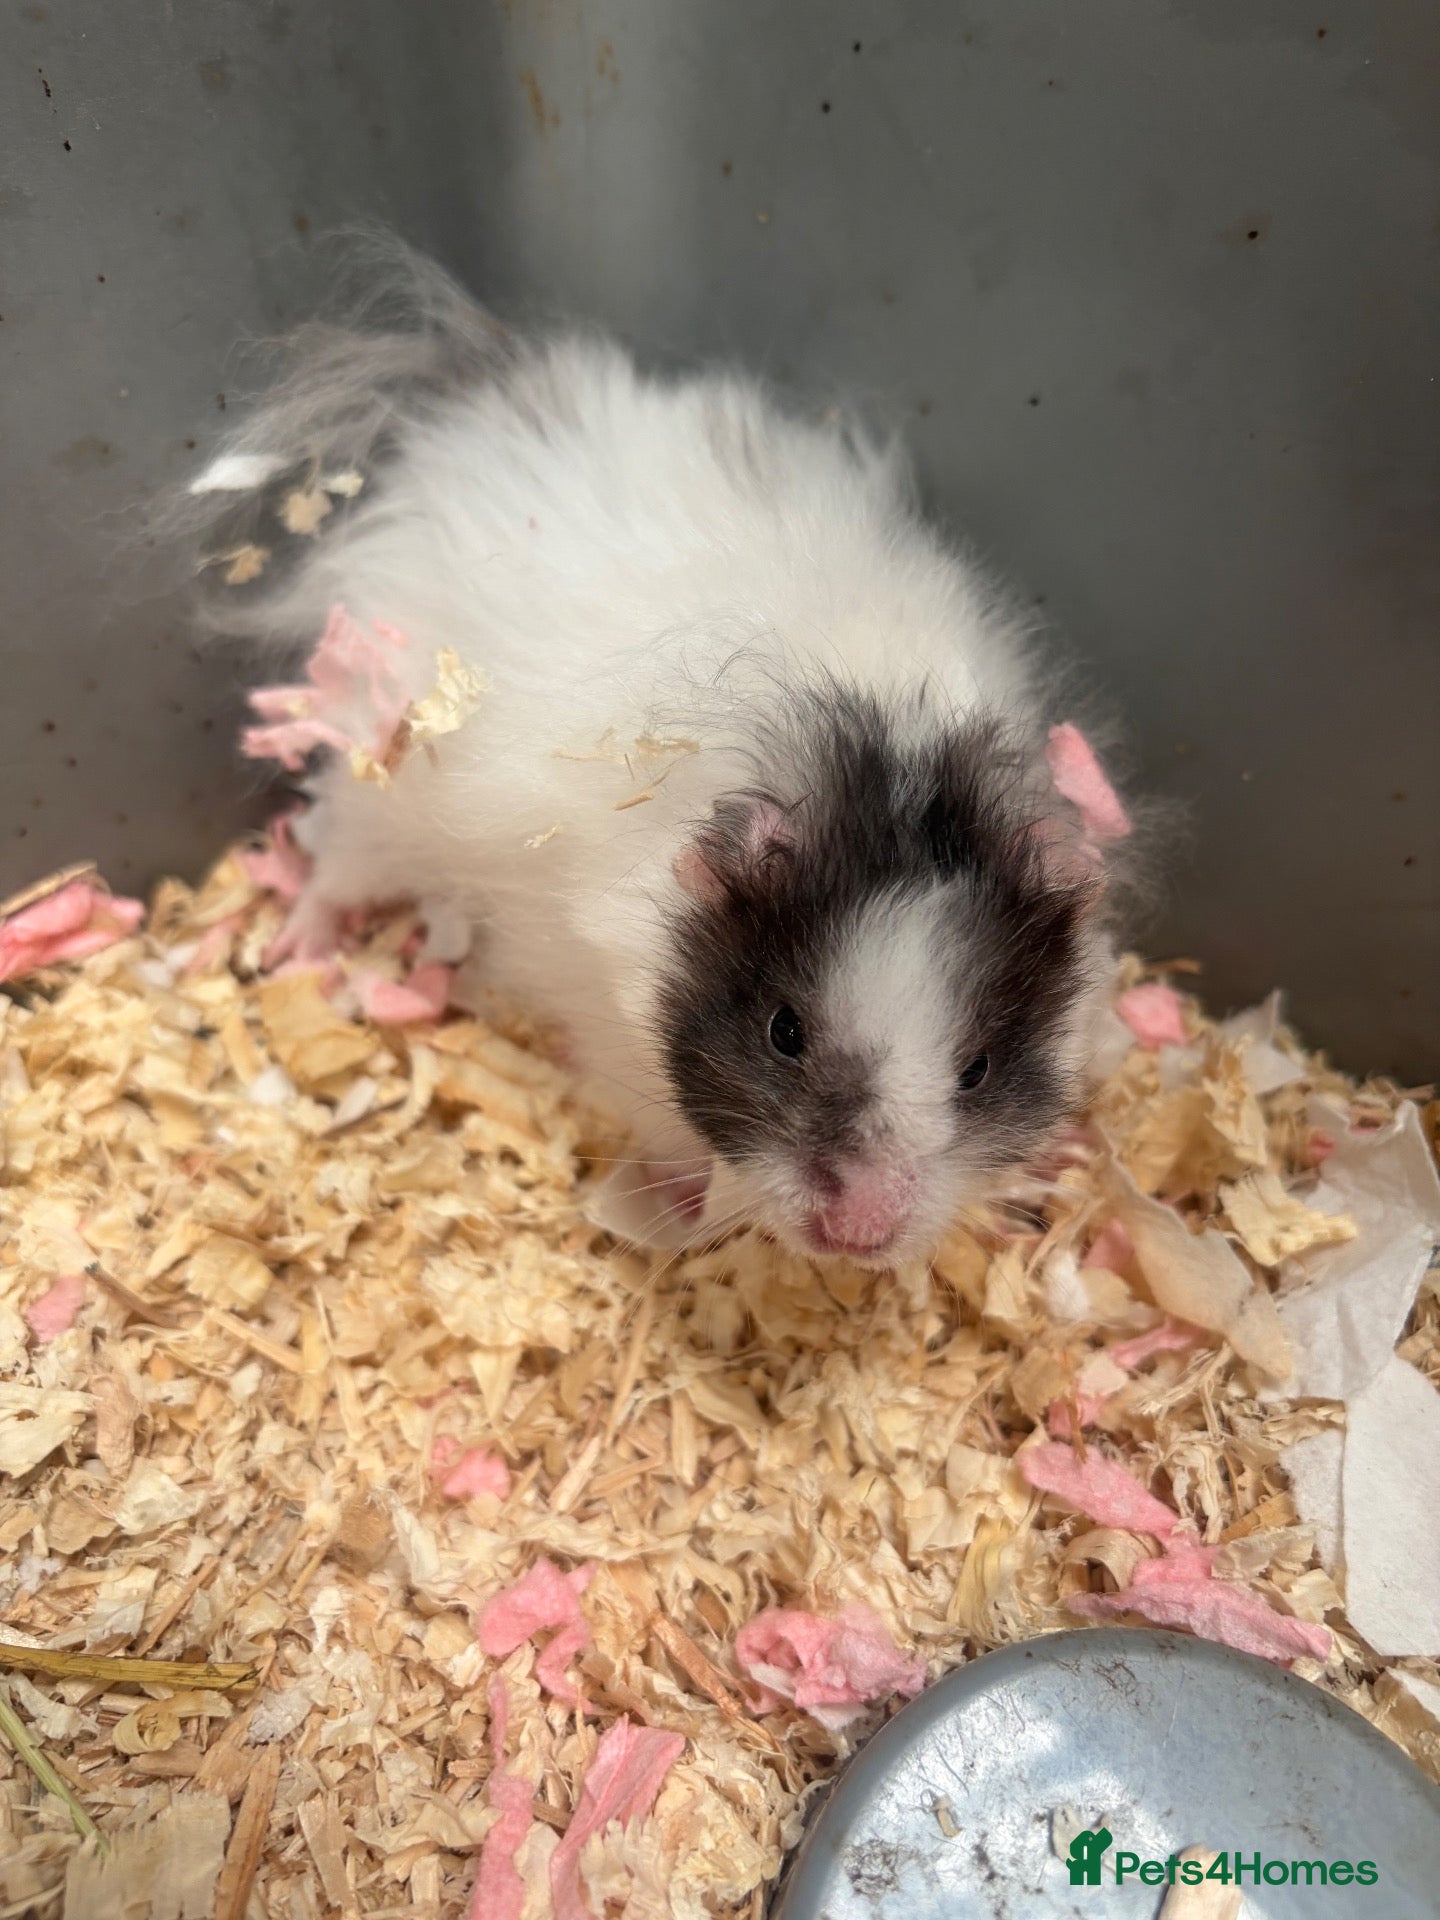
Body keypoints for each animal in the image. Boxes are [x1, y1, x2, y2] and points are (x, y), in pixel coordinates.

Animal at [184, 249, 1134, 1268]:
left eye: (977, 1068)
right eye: (783, 1031)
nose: (857, 1235)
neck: (880, 767)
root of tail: (480, 400)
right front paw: (682, 1203)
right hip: (378, 780)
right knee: (331, 867)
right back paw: (295, 956)